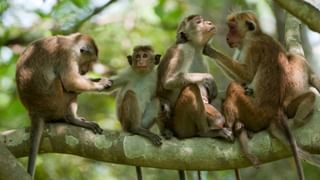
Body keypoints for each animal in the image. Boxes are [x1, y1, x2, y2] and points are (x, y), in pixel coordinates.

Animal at [15, 32, 112, 177]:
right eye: (88, 62)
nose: (85, 70)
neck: (71, 42)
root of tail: (34, 111)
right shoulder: (67, 55)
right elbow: (70, 81)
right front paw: (99, 85)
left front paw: (97, 79)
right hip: (55, 103)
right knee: (66, 86)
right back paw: (72, 119)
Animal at [205, 10, 320, 179]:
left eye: (232, 28)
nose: (227, 37)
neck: (254, 35)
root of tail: (274, 112)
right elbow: (243, 79)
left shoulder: (253, 47)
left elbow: (246, 75)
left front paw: (210, 50)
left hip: (255, 112)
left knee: (234, 88)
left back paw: (234, 129)